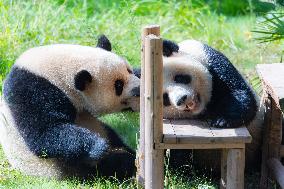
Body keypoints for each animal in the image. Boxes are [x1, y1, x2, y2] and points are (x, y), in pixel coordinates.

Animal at [0, 35, 140, 180]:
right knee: (112, 164)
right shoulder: (32, 90)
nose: (138, 90)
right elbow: (43, 135)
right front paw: (98, 146)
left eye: (129, 70)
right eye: (118, 85)